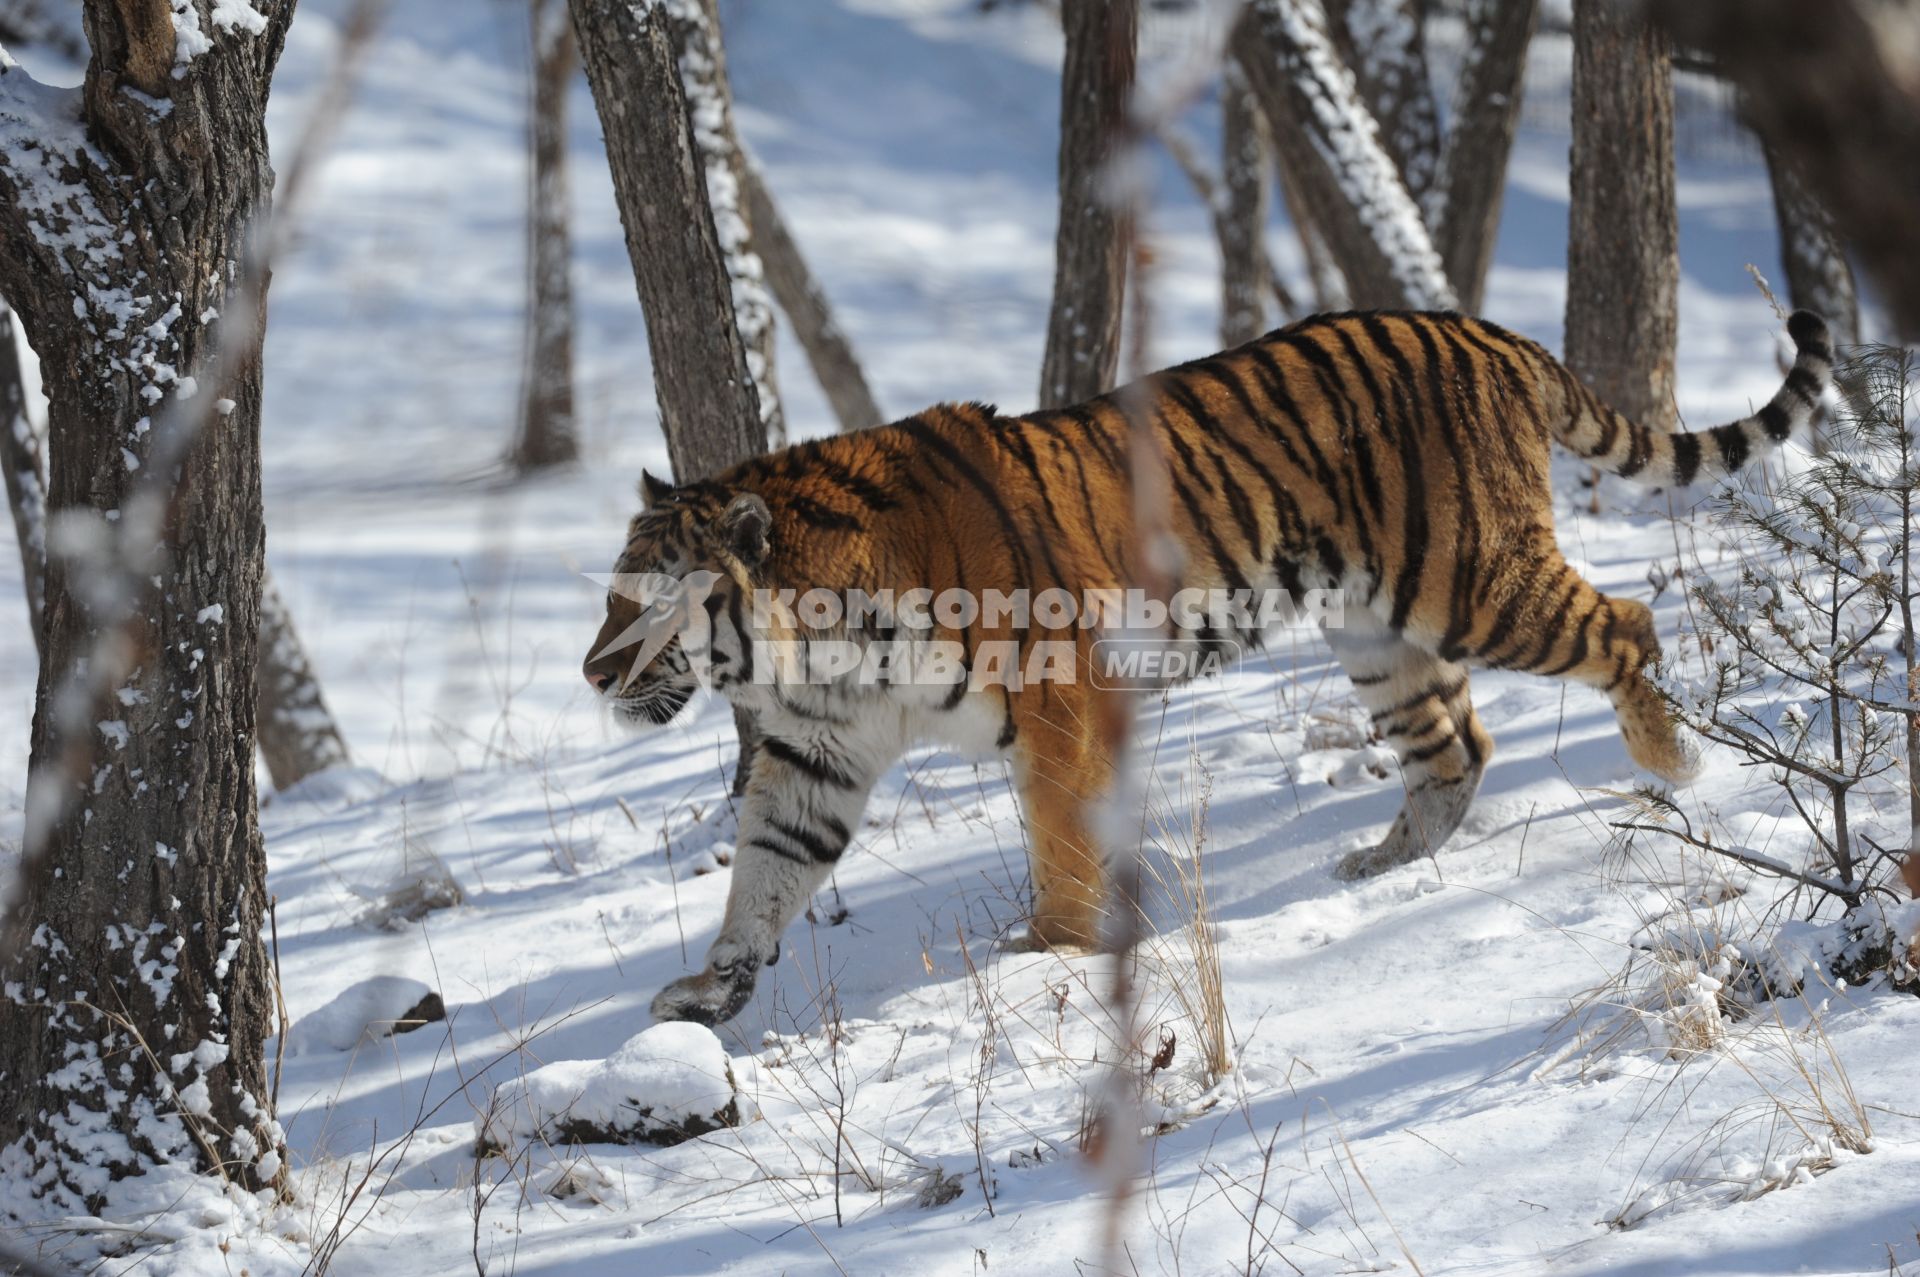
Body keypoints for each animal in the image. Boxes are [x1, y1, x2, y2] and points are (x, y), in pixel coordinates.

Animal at [579, 309, 1827, 1029]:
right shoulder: (817, 753)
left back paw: (1675, 760)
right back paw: (1375, 865)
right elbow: (764, 872)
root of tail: (1496, 334)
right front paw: (709, 989)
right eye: (610, 589)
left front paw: (1051, 950)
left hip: (1475, 582)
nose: (591, 673)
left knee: (1626, 622)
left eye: (645, 599)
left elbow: (1060, 834)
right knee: (1455, 745)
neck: (812, 646)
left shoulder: (1061, 698)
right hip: (1378, 625)